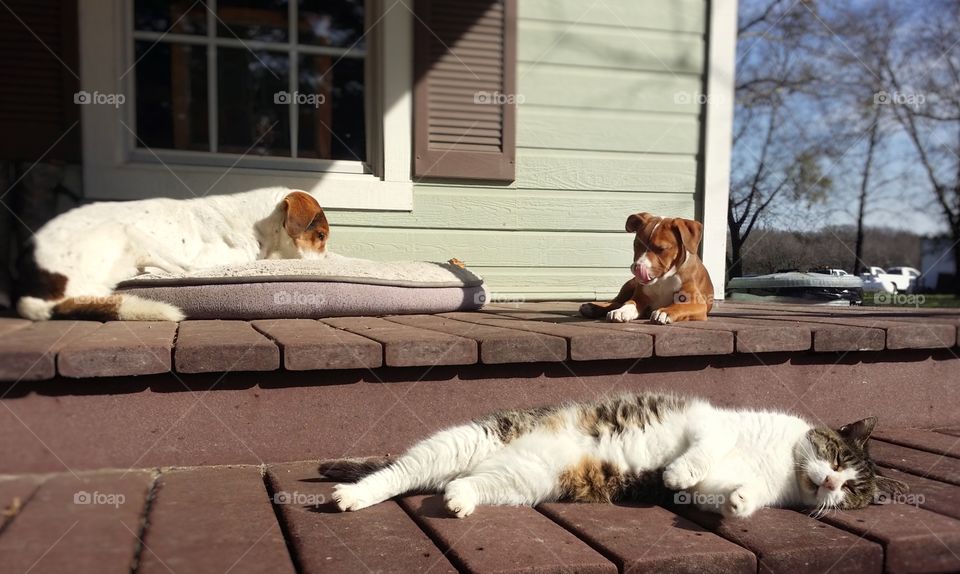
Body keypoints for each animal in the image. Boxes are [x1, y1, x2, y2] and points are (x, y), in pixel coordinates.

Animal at [576, 214, 712, 326]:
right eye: (636, 244)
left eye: (661, 249)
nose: (637, 268)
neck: (663, 280)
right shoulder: (640, 297)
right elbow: (630, 303)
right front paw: (622, 311)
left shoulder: (697, 303)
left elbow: (680, 306)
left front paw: (665, 312)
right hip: (630, 284)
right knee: (617, 301)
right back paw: (593, 307)